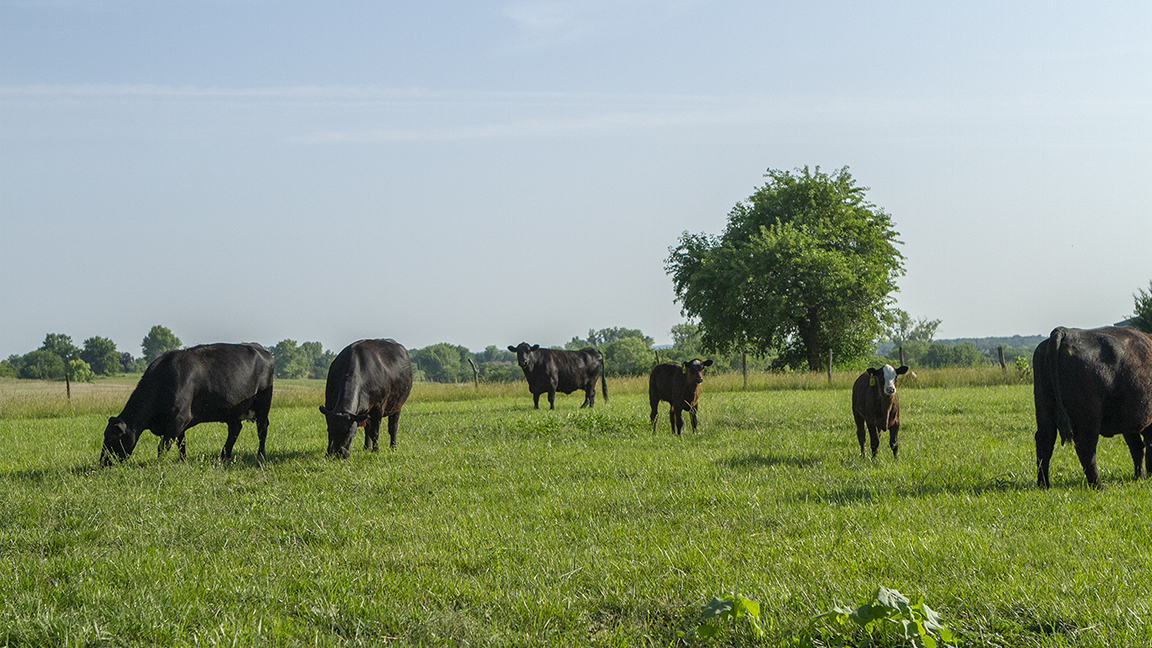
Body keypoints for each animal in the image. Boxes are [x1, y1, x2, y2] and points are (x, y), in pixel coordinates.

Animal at [101, 343, 274, 465]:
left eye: (112, 438)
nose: (103, 462)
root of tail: (262, 350)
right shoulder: (179, 422)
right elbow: (181, 443)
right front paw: (182, 461)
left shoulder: (179, 417)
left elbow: (163, 445)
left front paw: (158, 463)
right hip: (232, 410)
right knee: (235, 430)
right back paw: (224, 455)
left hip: (263, 403)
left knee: (262, 429)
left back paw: (260, 455)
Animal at [1034, 326, 1152, 489]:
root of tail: (1065, 332)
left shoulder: (1129, 425)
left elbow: (1137, 448)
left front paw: (1139, 476)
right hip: (1089, 419)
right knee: (1086, 448)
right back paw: (1098, 485)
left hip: (1045, 411)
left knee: (1045, 442)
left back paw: (1044, 484)